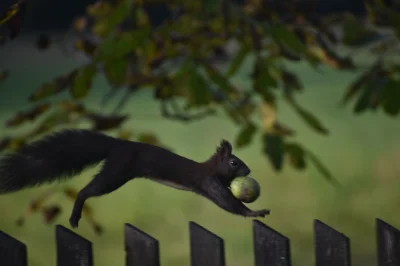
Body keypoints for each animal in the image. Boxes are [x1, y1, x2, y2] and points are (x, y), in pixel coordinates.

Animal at [0, 129, 270, 229]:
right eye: (234, 163)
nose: (248, 171)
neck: (213, 169)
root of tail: (117, 145)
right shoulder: (209, 183)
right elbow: (228, 203)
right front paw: (255, 212)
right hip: (117, 171)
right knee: (88, 191)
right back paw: (75, 216)